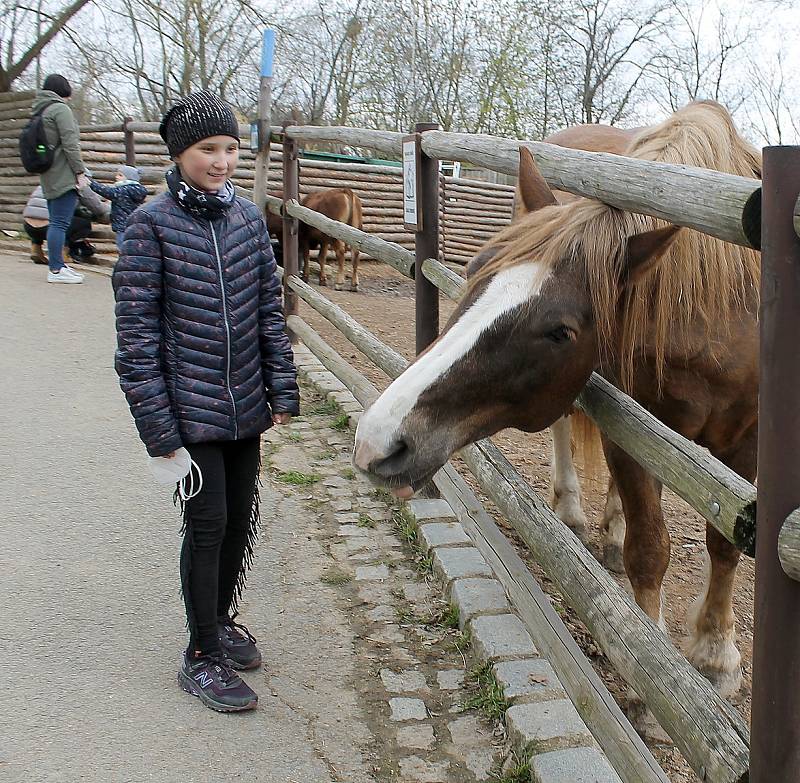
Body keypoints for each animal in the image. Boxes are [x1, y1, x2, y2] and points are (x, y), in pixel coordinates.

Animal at [356, 102, 764, 700]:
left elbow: (725, 543)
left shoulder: (747, 445)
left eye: (560, 331)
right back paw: (573, 511)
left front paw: (715, 655)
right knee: (566, 431)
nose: (377, 440)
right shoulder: (630, 431)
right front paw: (651, 682)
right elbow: (649, 550)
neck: (719, 314)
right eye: (476, 269)